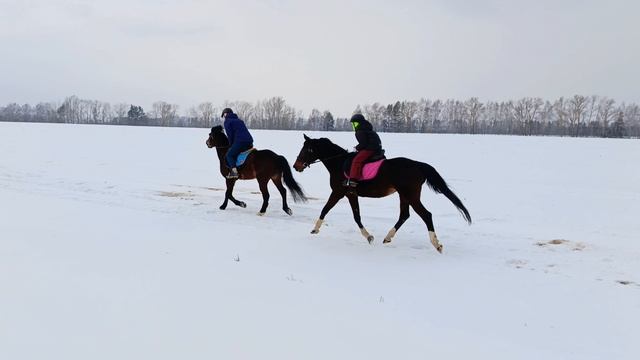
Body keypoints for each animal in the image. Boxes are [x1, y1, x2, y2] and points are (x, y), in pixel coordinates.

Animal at [294, 134, 470, 252]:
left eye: (307, 149)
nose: (296, 166)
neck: (338, 162)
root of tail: (418, 165)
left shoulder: (338, 192)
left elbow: (326, 209)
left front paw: (315, 229)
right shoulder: (351, 194)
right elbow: (356, 216)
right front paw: (369, 237)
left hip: (411, 195)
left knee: (426, 215)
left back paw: (436, 244)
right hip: (403, 195)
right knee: (404, 215)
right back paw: (387, 237)